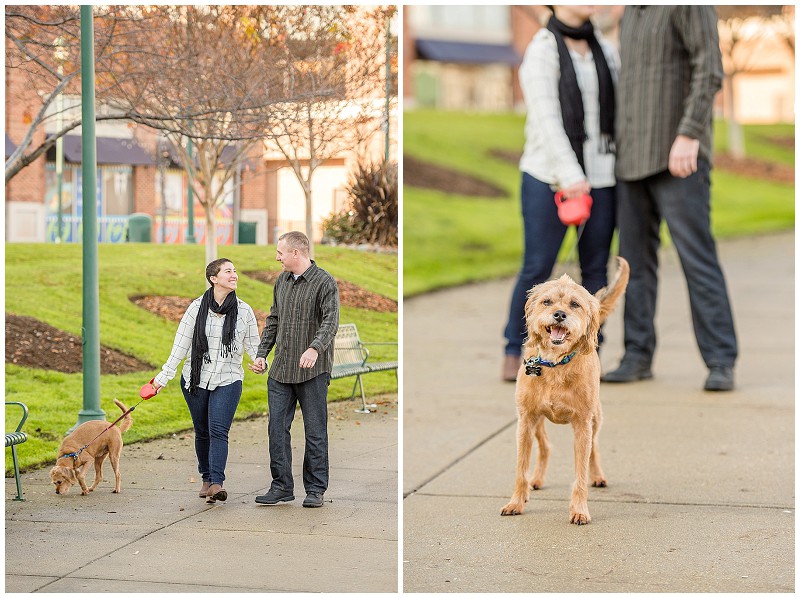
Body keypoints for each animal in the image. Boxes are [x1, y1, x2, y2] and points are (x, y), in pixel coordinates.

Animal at [504, 258, 628, 524]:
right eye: (547, 301)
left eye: (574, 304)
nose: (560, 314)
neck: (554, 365)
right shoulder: (525, 420)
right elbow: (521, 469)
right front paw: (516, 502)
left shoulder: (582, 424)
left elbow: (580, 471)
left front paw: (579, 510)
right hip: (536, 421)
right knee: (546, 447)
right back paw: (535, 482)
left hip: (595, 418)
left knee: (594, 448)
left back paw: (597, 476)